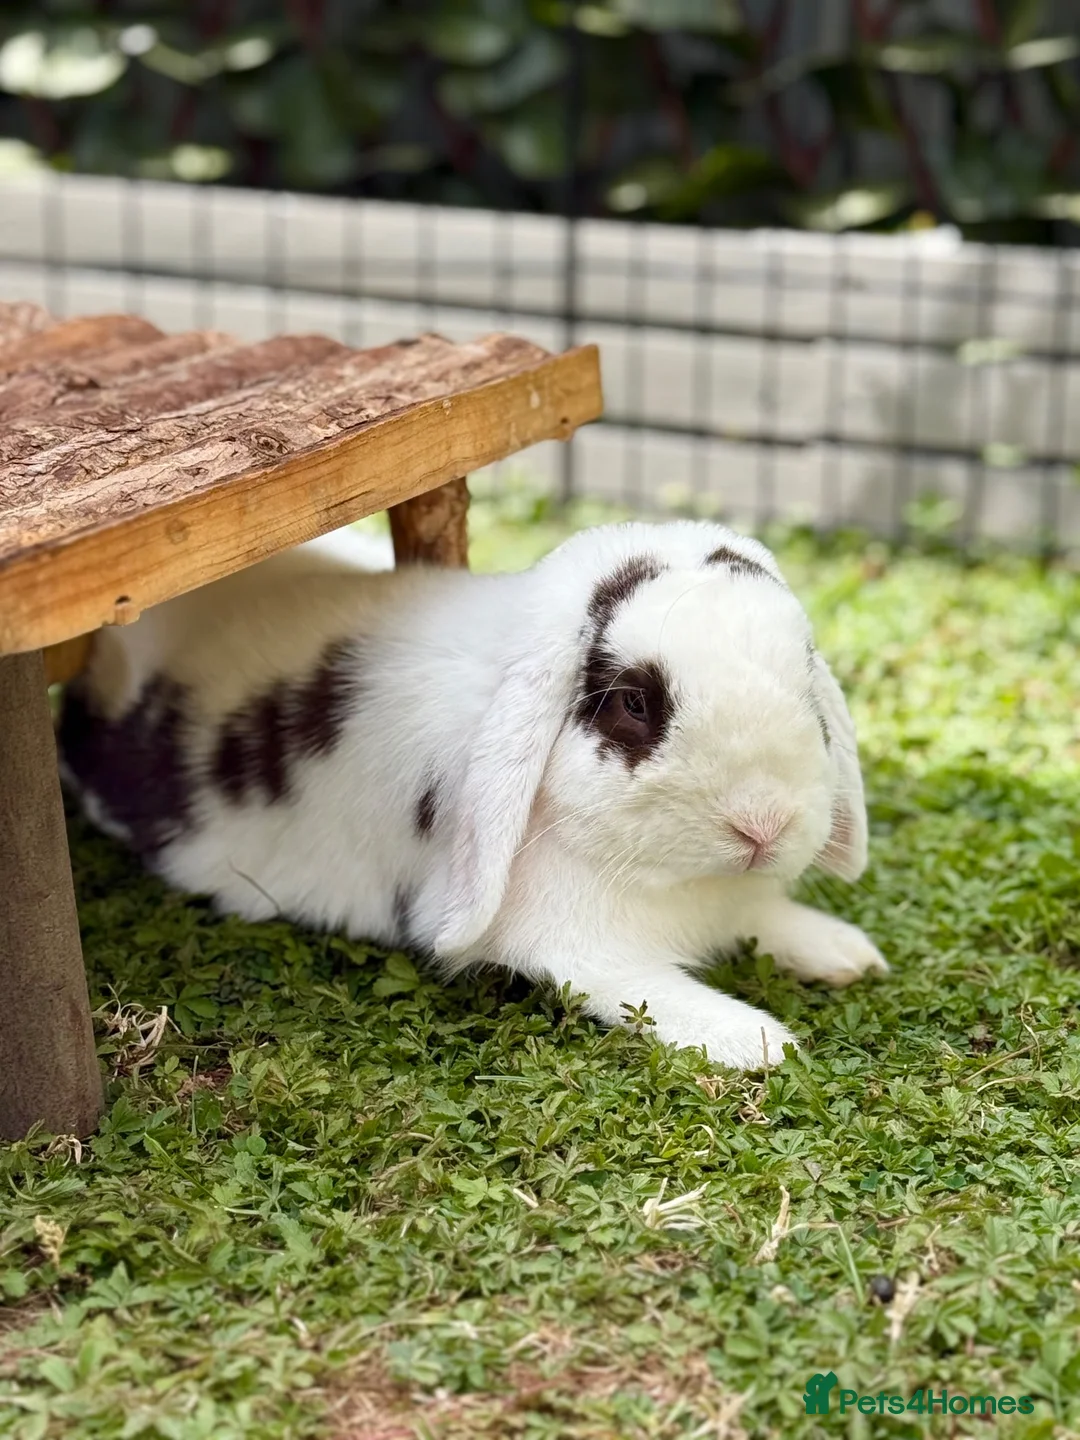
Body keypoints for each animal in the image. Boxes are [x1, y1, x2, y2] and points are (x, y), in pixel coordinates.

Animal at [59, 518, 887, 1071]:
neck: (686, 885)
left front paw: (846, 955)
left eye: (805, 677)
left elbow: (769, 918)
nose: (763, 825)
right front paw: (761, 1042)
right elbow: (652, 994)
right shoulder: (583, 950)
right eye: (635, 702)